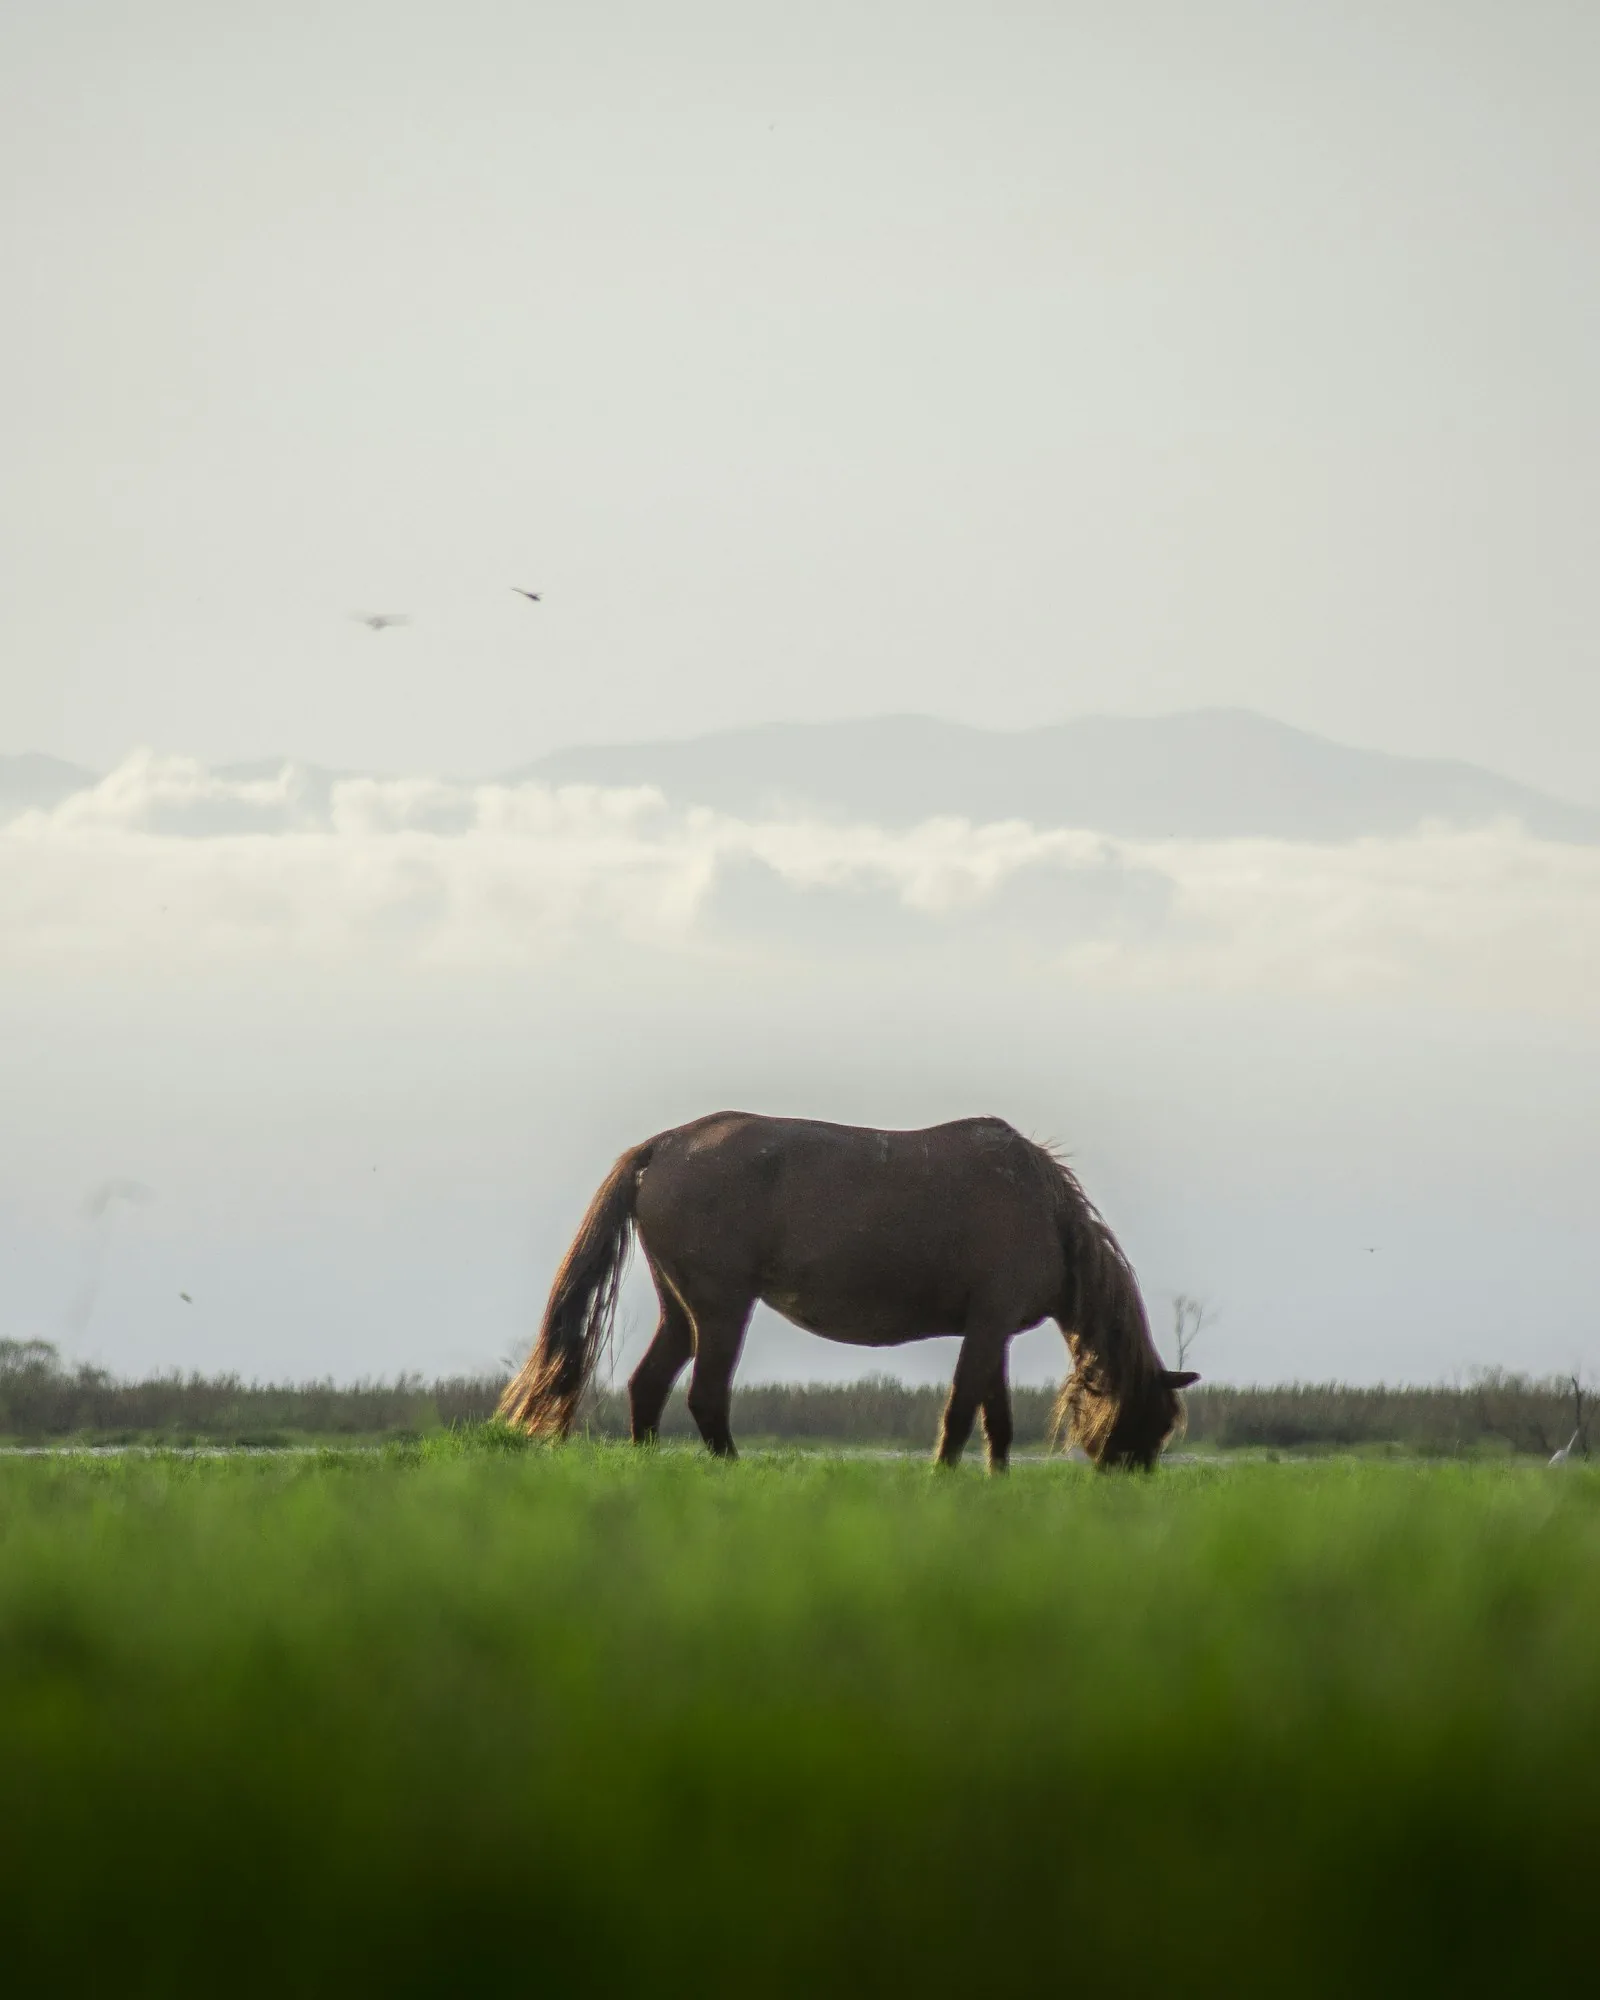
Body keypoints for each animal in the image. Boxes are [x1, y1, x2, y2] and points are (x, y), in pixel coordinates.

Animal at [498, 1112, 1197, 1471]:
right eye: (1154, 1422)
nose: (1125, 1483)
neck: (1044, 1212)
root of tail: (664, 1145)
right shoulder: (987, 1326)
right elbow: (961, 1412)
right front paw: (942, 1483)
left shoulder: (991, 1331)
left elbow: (995, 1420)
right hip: (722, 1309)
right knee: (705, 1396)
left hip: (681, 1311)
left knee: (649, 1386)